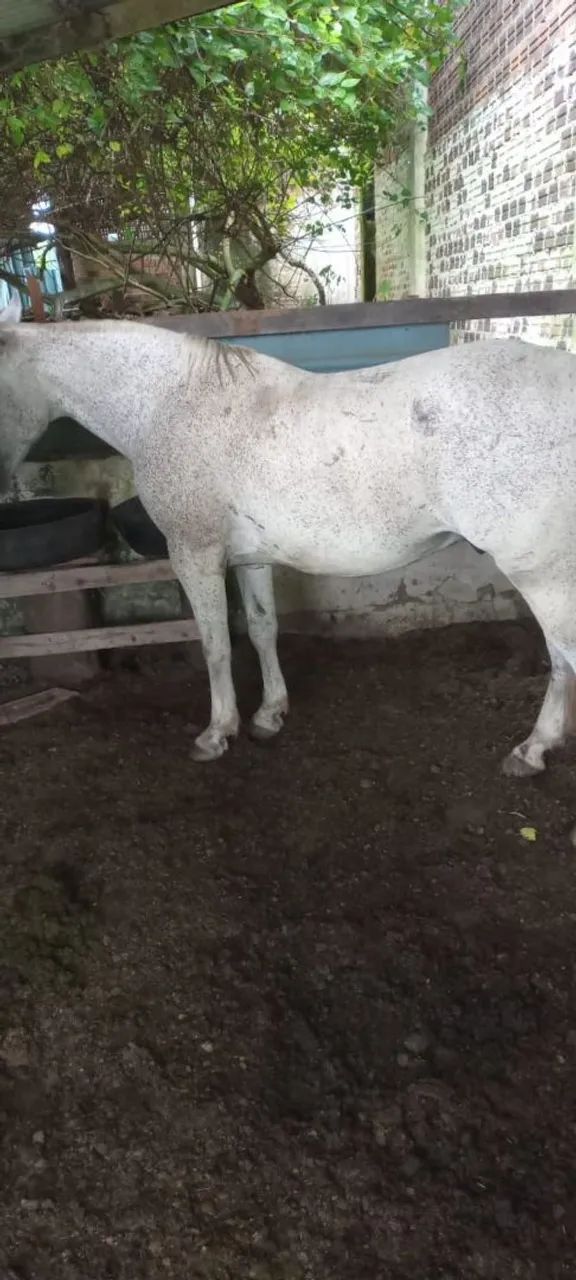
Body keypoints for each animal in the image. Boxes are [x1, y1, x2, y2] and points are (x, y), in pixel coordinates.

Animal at [1, 293, 575, 773]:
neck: (168, 404)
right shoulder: (251, 557)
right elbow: (261, 629)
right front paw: (269, 715)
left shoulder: (194, 555)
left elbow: (215, 644)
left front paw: (217, 732)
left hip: (541, 573)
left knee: (565, 652)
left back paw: (533, 749)